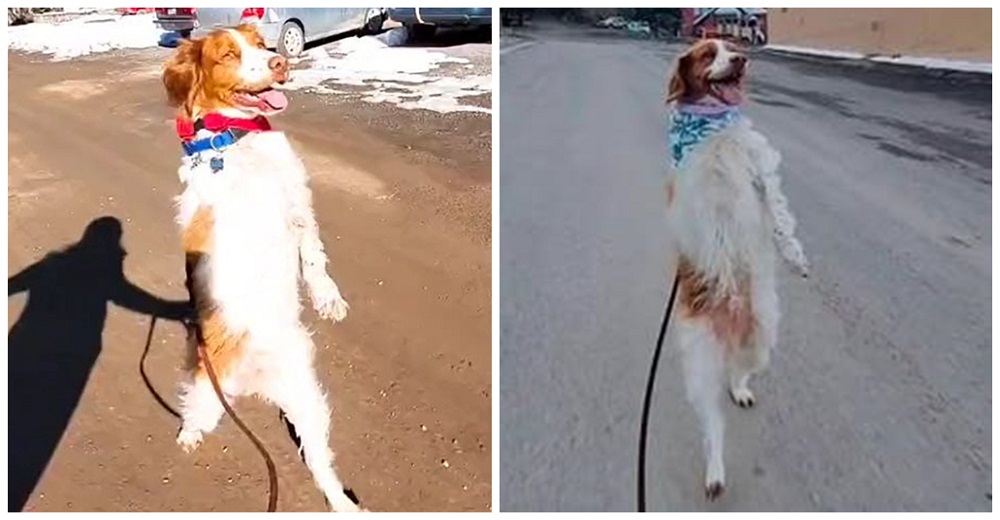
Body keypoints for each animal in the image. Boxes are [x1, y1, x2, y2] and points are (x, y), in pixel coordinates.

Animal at [164, 24, 364, 512]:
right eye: (228, 54)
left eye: (259, 43)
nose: (279, 62)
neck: (235, 139)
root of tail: (252, 382)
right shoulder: (208, 215)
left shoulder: (297, 200)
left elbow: (313, 255)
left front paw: (328, 299)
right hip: (205, 387)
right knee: (196, 413)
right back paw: (188, 436)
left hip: (307, 401)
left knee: (321, 468)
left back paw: (346, 504)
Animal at [664, 39, 812, 500]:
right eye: (707, 53)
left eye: (732, 47)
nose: (742, 59)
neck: (712, 128)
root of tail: (730, 320)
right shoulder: (685, 186)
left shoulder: (760, 168)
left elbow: (780, 218)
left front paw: (795, 256)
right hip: (701, 364)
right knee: (713, 426)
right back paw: (715, 473)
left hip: (762, 339)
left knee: (740, 372)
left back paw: (741, 389)